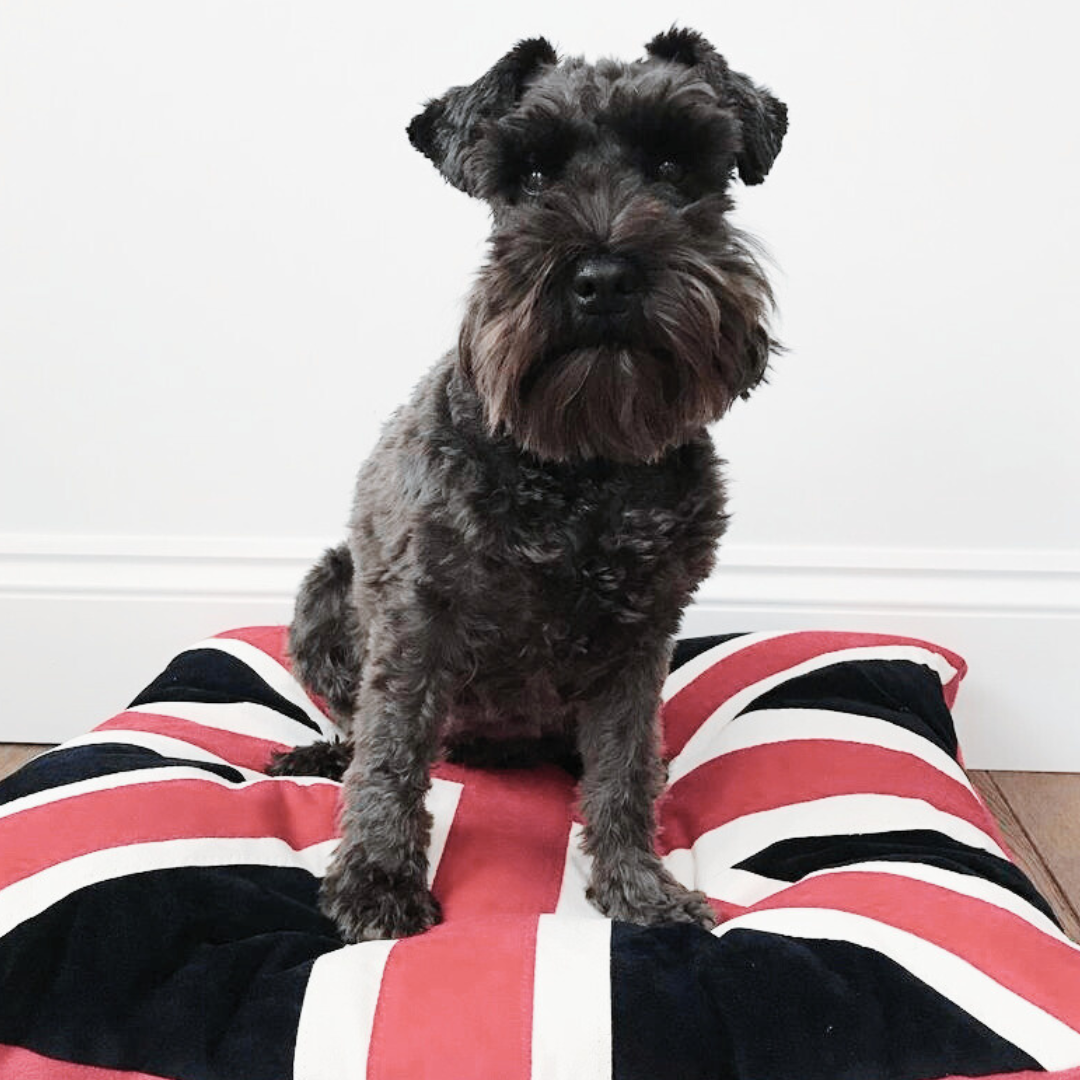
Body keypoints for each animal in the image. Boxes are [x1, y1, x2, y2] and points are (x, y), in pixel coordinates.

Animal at [272, 23, 786, 937]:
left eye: (674, 165)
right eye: (532, 177)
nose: (605, 278)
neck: (586, 459)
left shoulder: (641, 641)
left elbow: (625, 770)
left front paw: (638, 886)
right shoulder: (417, 616)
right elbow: (391, 752)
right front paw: (376, 880)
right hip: (326, 587)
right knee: (362, 729)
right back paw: (322, 753)